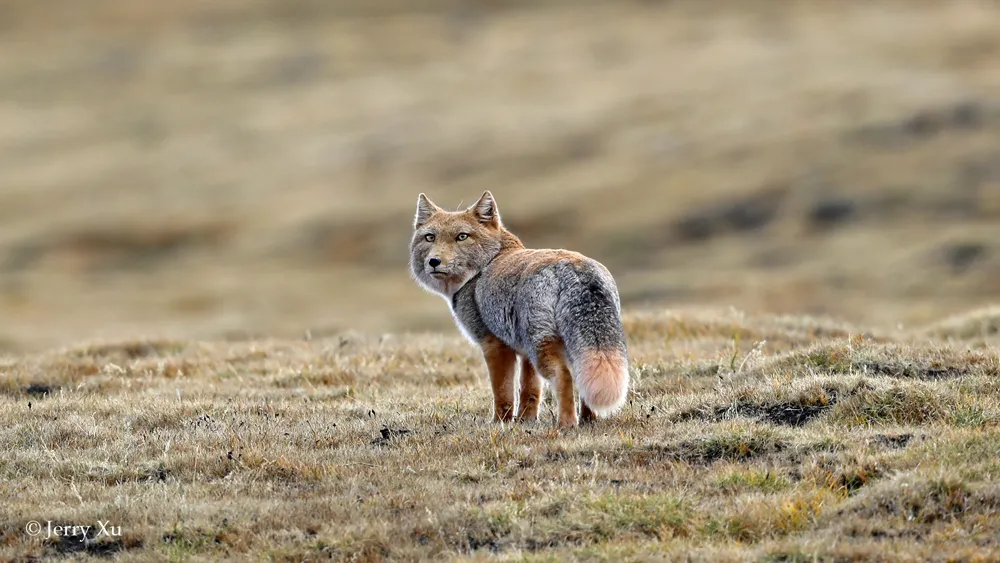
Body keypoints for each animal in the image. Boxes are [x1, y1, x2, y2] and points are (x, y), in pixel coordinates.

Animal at [408, 192, 628, 430]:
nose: (434, 261)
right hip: (566, 348)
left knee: (564, 375)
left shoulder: (494, 344)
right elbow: (529, 390)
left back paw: (566, 424)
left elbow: (502, 392)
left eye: (462, 236)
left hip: (540, 348)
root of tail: (578, 270)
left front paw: (499, 422)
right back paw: (588, 420)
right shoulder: (522, 351)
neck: (488, 262)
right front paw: (525, 420)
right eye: (430, 237)